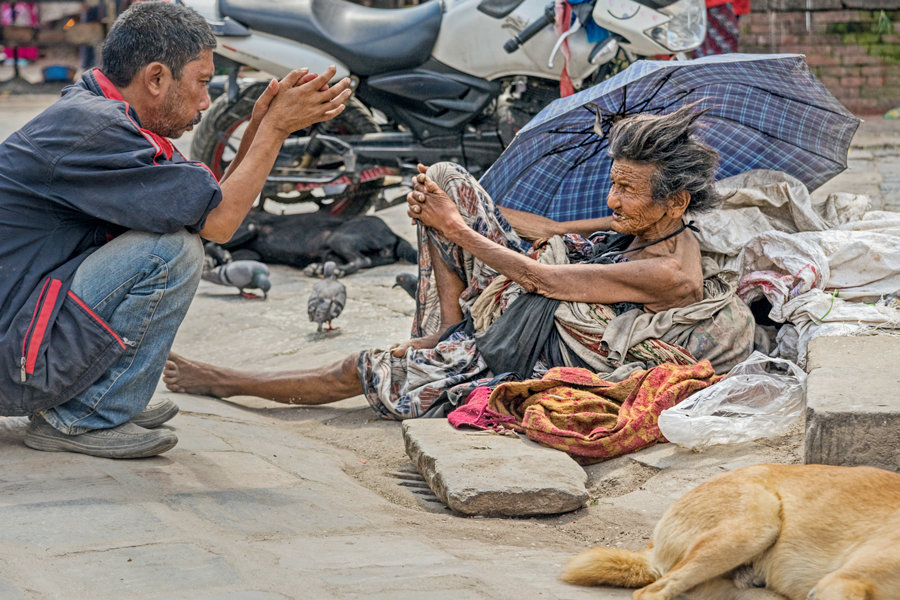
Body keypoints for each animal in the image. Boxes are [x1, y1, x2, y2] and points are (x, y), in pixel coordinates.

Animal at [206, 210, 416, 278]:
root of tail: (392, 233)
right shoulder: (251, 254)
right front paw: (215, 259)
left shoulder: (250, 226)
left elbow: (210, 243)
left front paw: (216, 255)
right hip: (332, 251)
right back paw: (318, 268)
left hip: (339, 238)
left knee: (361, 261)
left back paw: (336, 271)